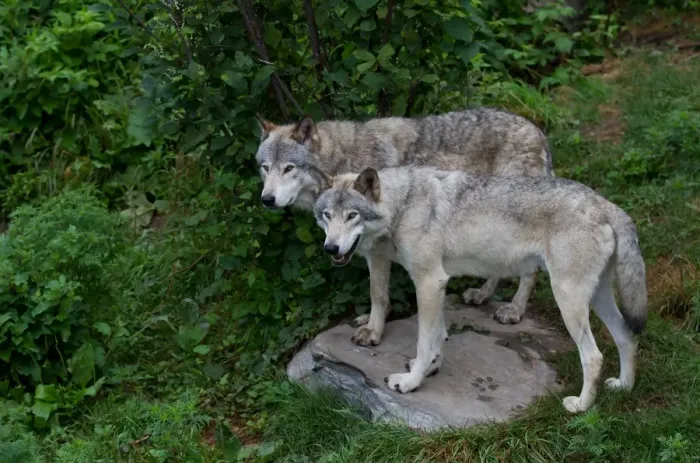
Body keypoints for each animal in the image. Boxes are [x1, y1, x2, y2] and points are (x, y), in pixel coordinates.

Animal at [255, 108, 553, 346]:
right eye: (265, 167)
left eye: (289, 168)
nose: (267, 200)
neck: (342, 159)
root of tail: (537, 131)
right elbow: (378, 292)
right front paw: (369, 321)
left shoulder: (377, 250)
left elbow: (377, 293)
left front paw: (373, 331)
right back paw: (482, 294)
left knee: (531, 272)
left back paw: (514, 310)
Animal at [312, 166, 647, 413]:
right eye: (327, 216)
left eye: (352, 215)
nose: (330, 248)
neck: (404, 204)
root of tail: (607, 205)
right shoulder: (438, 284)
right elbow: (438, 337)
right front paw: (432, 368)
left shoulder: (428, 282)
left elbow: (424, 341)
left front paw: (410, 382)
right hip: (597, 298)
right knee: (626, 336)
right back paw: (624, 387)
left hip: (568, 300)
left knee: (594, 357)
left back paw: (580, 406)